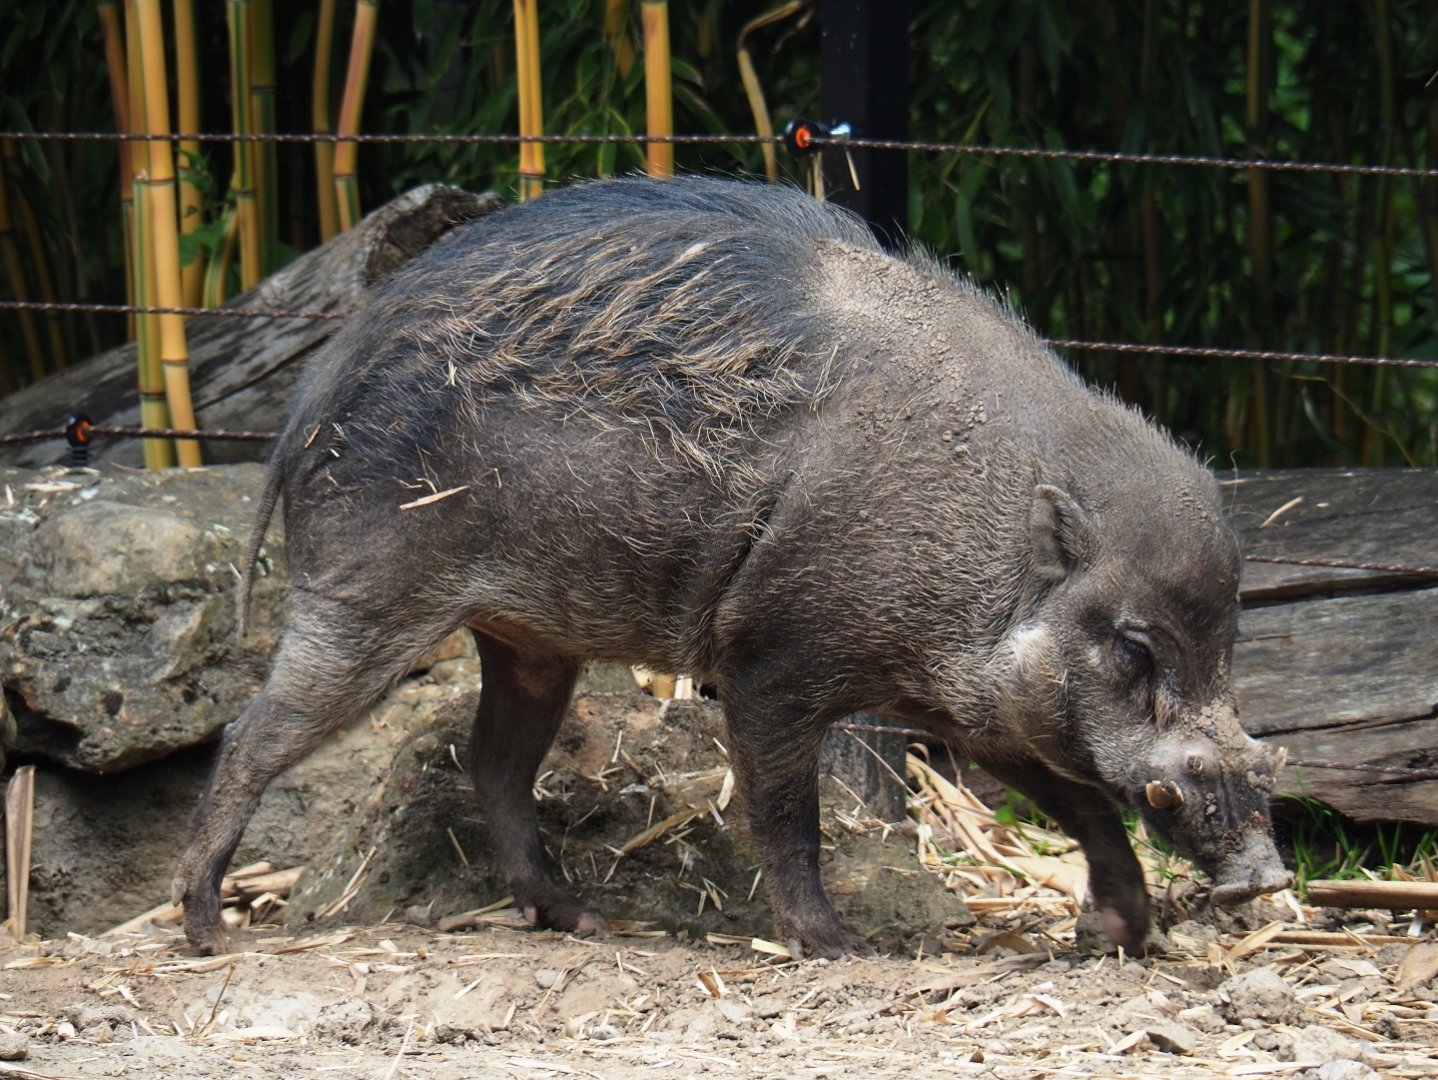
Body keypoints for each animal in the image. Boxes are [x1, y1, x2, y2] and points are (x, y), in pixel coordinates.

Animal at [174, 175, 1292, 957]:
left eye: (1226, 643)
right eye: (1135, 648)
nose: (1267, 877)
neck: (986, 533)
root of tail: (311, 391)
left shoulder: (977, 705)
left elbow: (1083, 800)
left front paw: (1126, 940)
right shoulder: (771, 658)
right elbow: (786, 812)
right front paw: (837, 947)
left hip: (526, 637)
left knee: (493, 761)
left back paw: (582, 922)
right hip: (367, 593)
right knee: (250, 731)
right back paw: (205, 930)